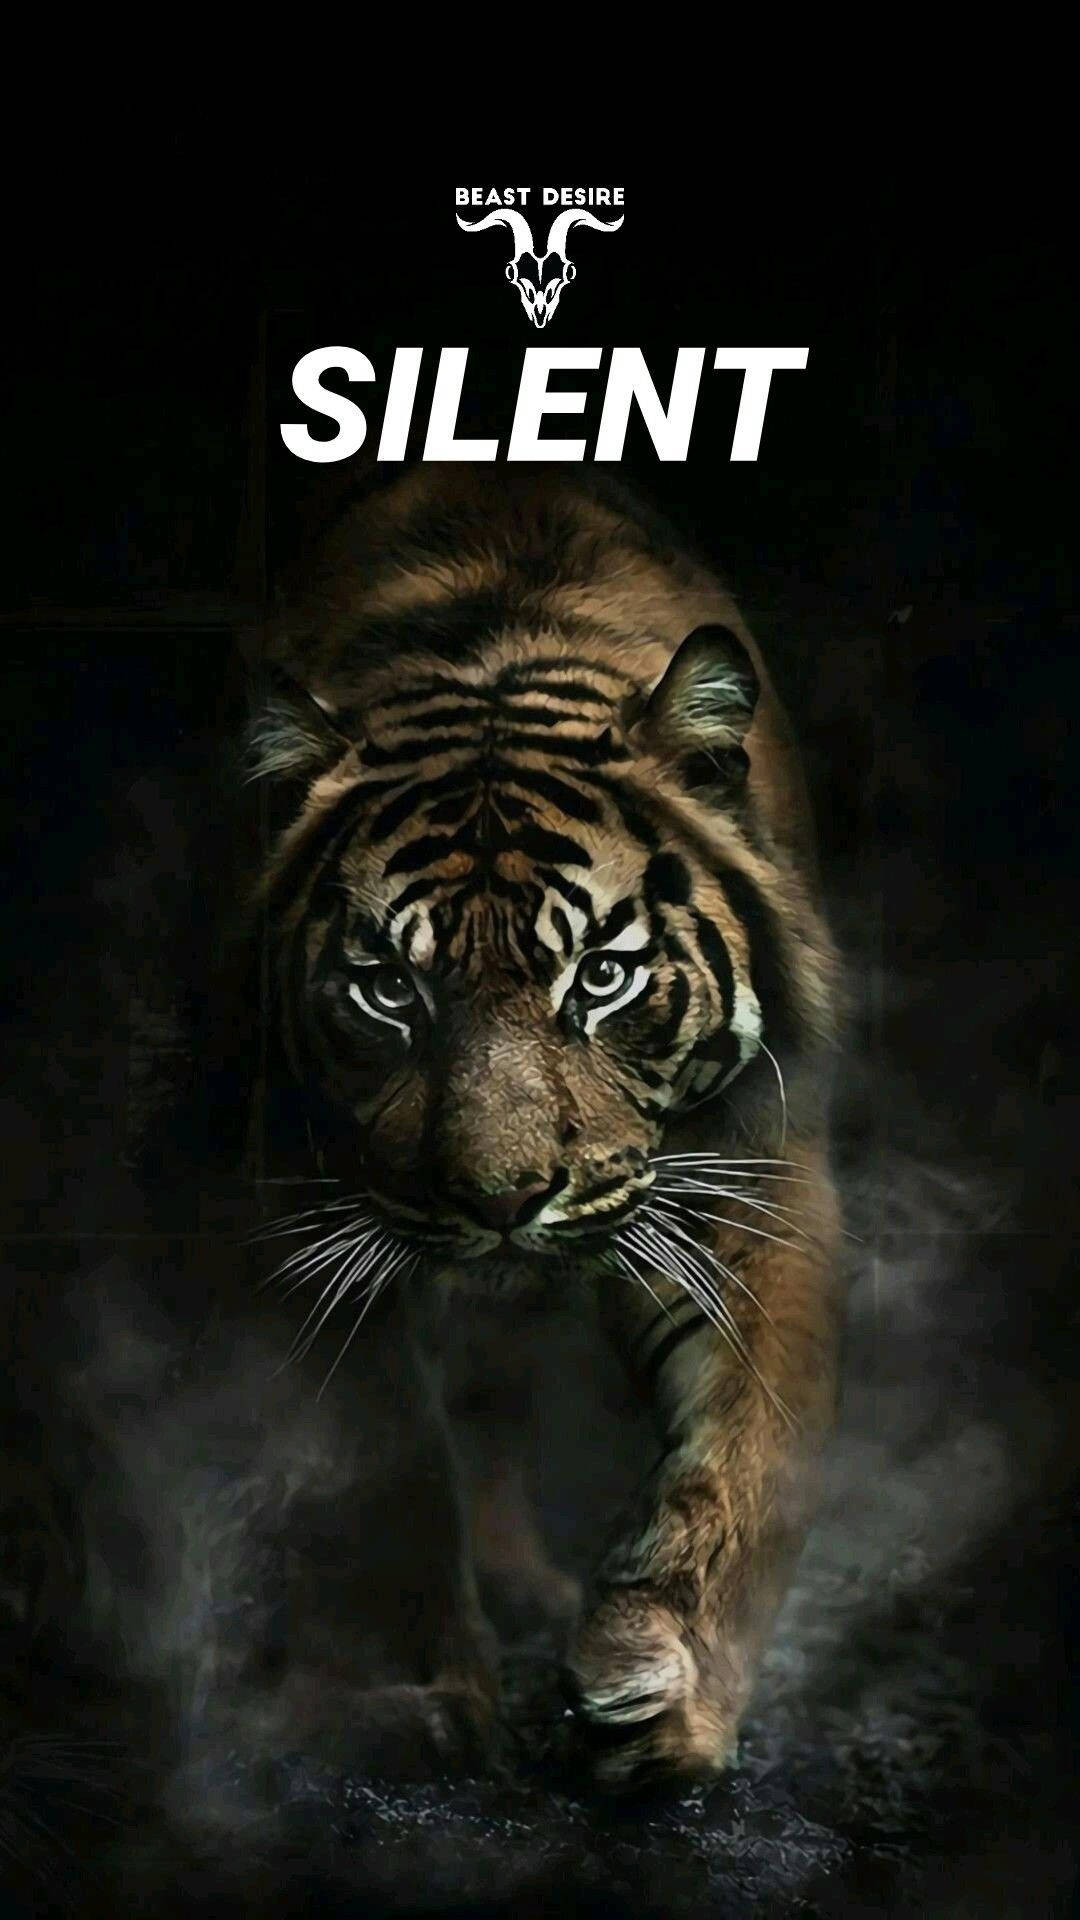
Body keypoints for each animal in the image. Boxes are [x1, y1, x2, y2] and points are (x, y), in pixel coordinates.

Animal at [243, 465, 843, 1791]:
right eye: (388, 990)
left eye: (603, 978)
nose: (504, 1198)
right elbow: (387, 1461)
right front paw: (419, 1696)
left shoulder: (748, 1172)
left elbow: (746, 1452)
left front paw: (662, 1692)